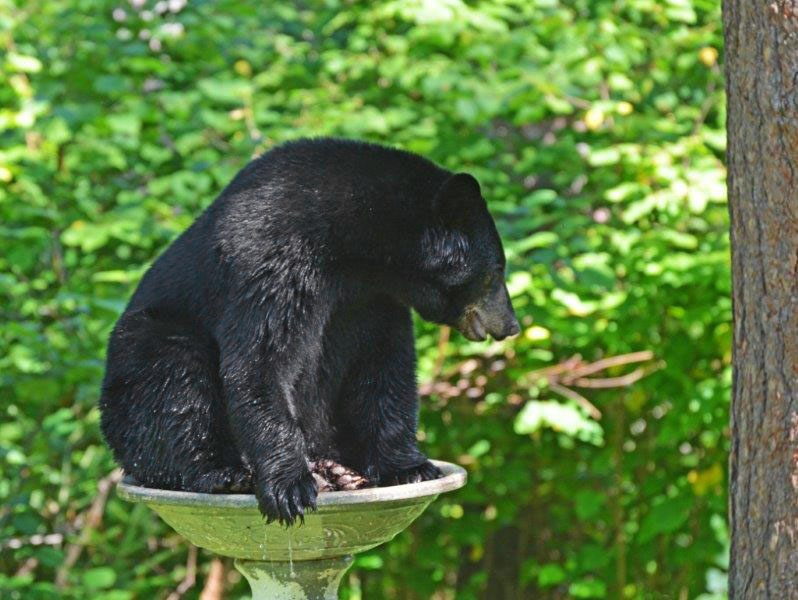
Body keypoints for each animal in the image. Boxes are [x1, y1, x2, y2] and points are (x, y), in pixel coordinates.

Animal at [99, 138, 519, 525]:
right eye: (497, 271)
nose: (512, 325)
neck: (352, 243)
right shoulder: (273, 257)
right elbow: (261, 360)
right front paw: (289, 487)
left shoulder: (372, 298)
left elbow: (384, 366)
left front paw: (410, 467)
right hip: (144, 345)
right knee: (172, 380)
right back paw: (222, 473)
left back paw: (336, 470)